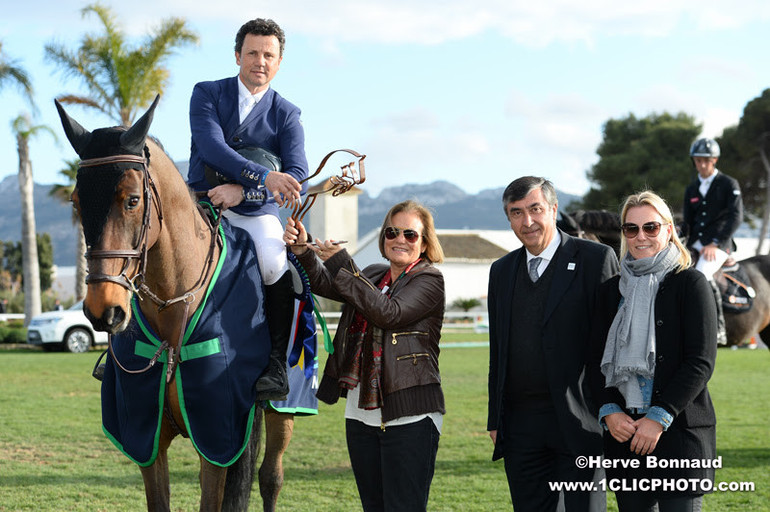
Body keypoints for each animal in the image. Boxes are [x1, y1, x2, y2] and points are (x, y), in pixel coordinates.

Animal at [54, 97, 298, 512]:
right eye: (76, 202)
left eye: (132, 200)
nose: (104, 310)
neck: (174, 304)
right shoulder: (147, 439)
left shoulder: (217, 438)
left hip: (285, 410)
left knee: (271, 478)